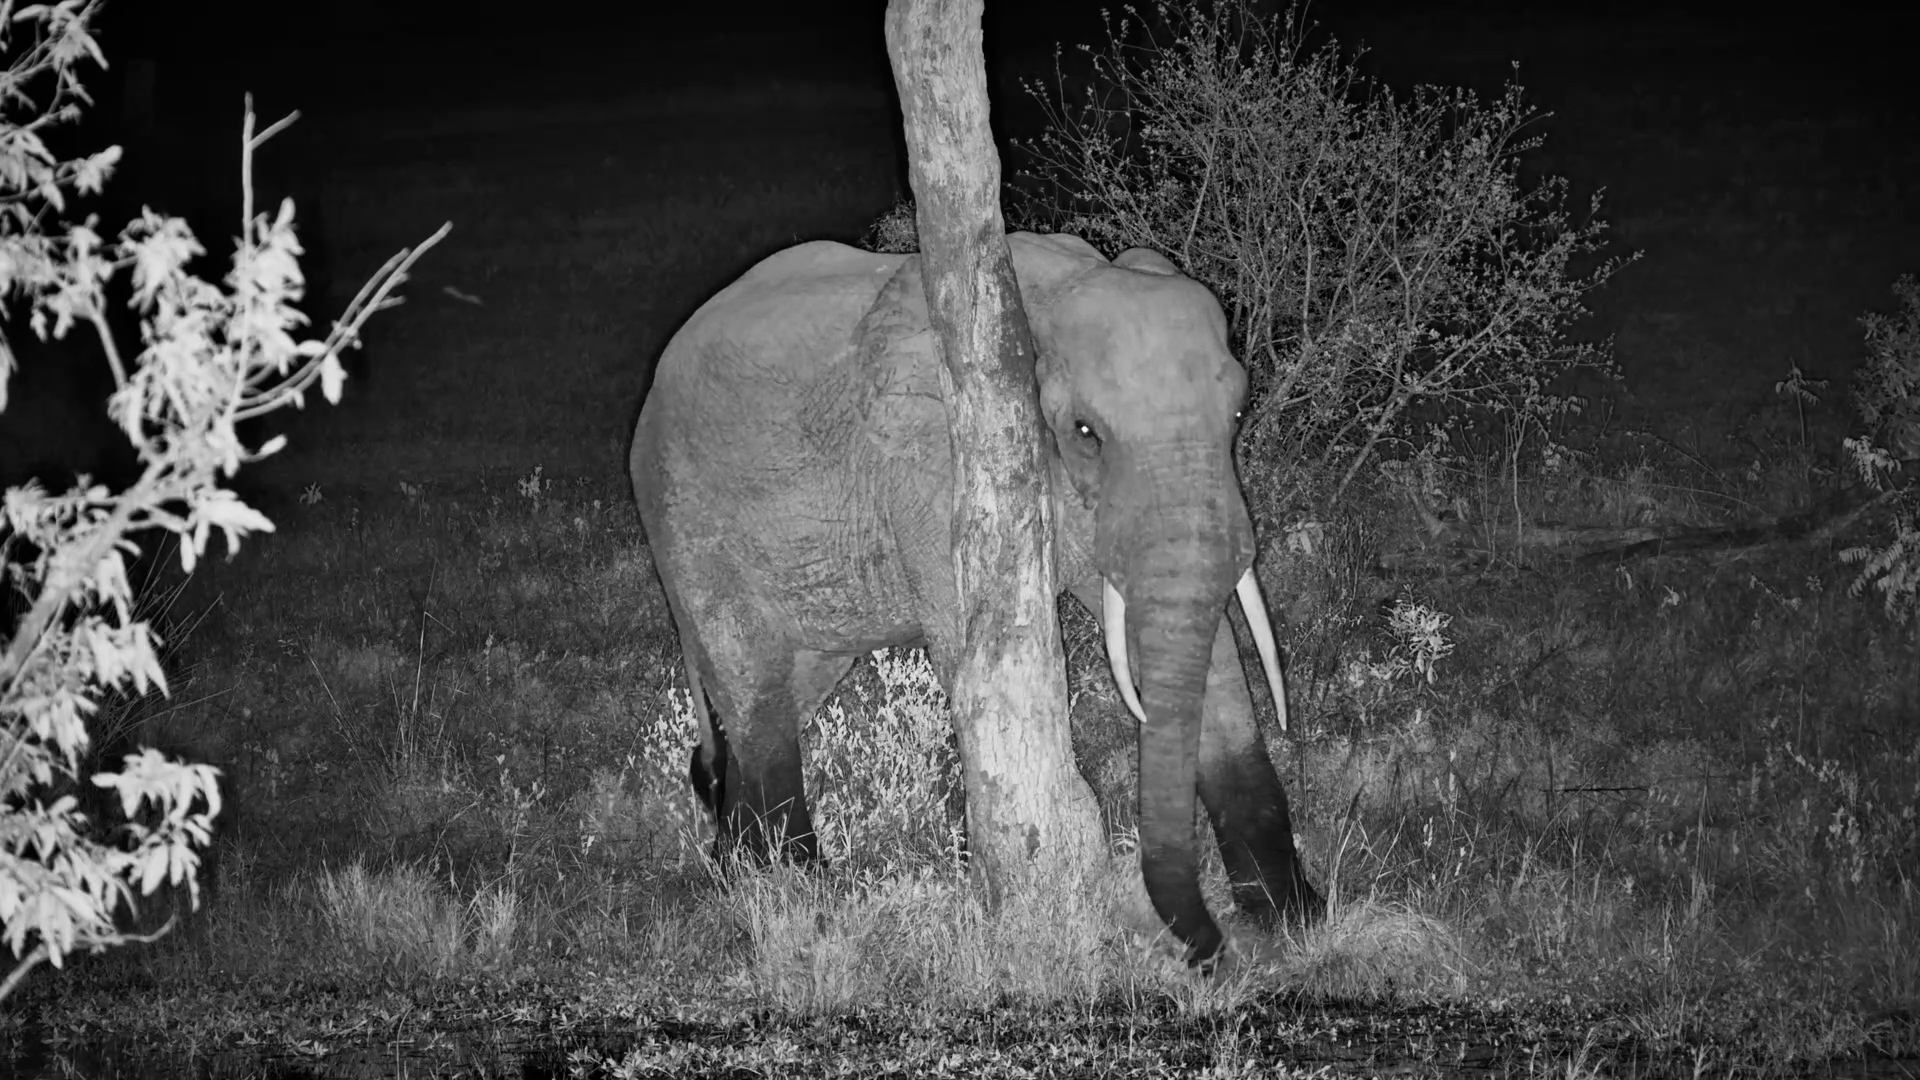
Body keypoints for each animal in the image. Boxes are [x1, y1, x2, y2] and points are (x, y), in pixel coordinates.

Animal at [630, 231, 1321, 965]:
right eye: (1085, 433)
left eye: (1241, 414)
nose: (1208, 952)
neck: (1055, 289)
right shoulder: (940, 470)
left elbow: (1209, 657)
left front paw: (1293, 919)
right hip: (684, 519)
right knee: (753, 689)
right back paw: (805, 897)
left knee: (794, 687)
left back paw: (738, 873)